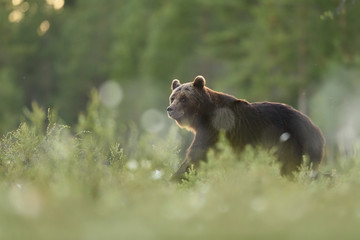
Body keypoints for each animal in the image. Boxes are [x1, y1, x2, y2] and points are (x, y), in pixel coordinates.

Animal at [167, 75, 324, 182]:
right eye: (172, 97)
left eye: (183, 98)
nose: (170, 109)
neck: (203, 115)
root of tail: (315, 127)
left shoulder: (215, 128)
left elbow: (196, 155)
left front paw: (175, 178)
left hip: (292, 141)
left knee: (292, 166)